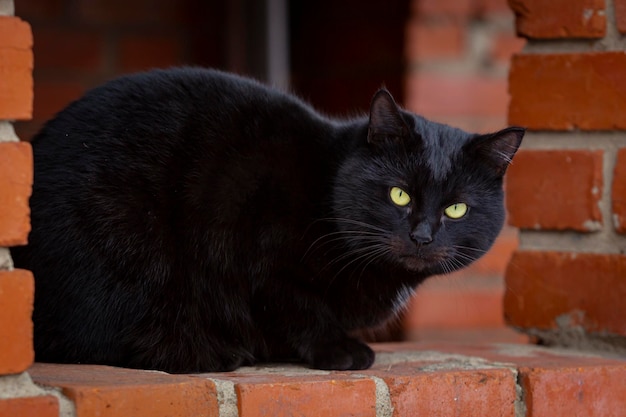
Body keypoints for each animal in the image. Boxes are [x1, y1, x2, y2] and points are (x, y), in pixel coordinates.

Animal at [12, 66, 524, 372]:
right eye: (399, 194)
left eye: (455, 208)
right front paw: (339, 351)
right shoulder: (262, 259)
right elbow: (300, 310)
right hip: (125, 243)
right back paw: (210, 352)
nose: (421, 236)